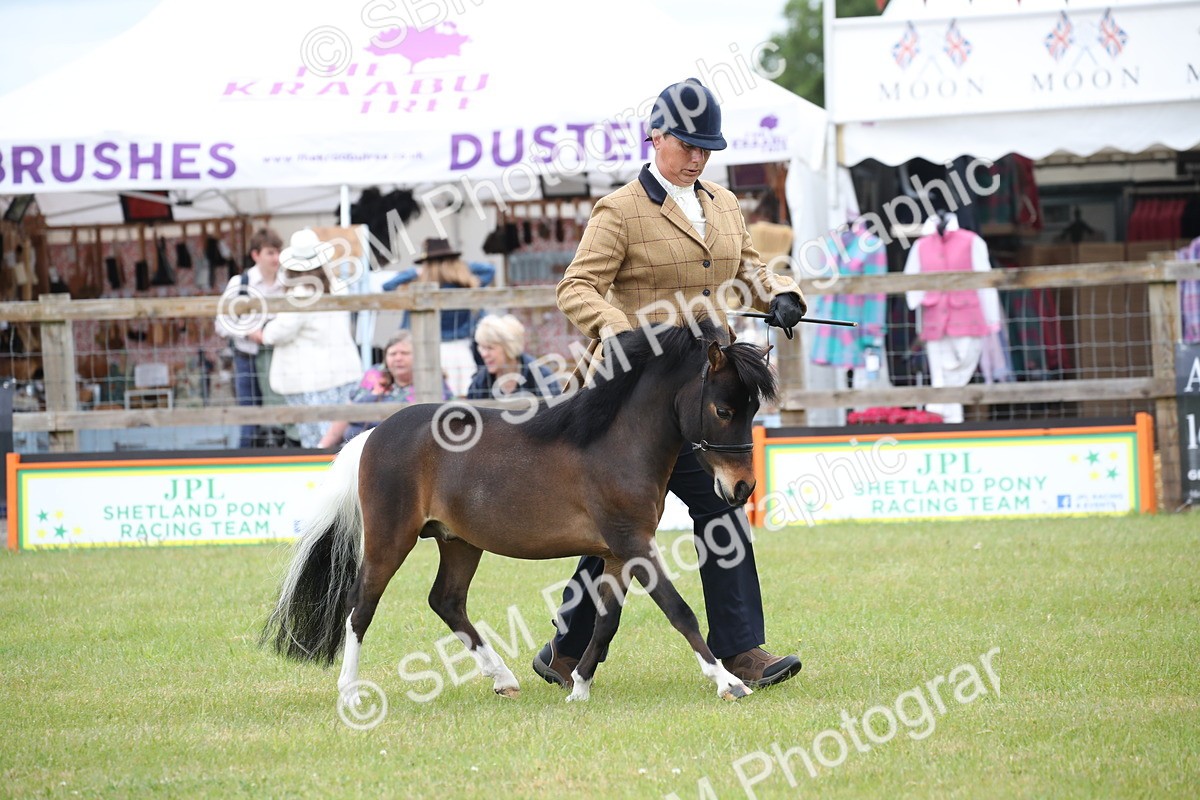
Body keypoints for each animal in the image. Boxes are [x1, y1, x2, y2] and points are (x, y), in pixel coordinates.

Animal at [262, 318, 776, 703]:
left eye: (752, 409)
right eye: (723, 410)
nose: (742, 487)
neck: (615, 442)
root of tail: (374, 434)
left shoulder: (617, 553)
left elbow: (606, 621)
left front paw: (578, 688)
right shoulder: (634, 543)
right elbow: (679, 610)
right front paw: (728, 682)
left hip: (458, 542)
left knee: (446, 601)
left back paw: (503, 679)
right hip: (391, 538)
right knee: (360, 605)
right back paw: (350, 692)